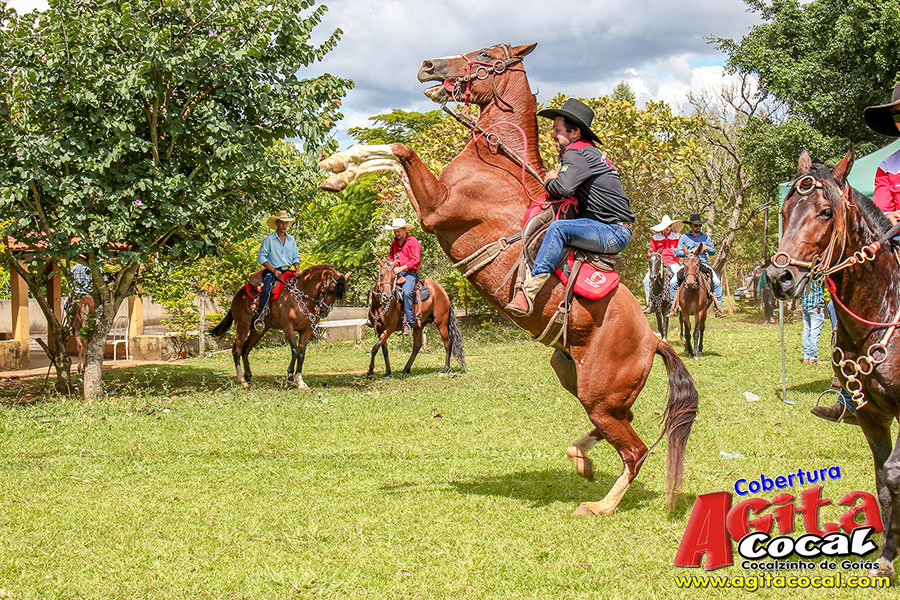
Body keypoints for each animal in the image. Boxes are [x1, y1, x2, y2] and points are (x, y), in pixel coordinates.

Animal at [210, 264, 350, 389]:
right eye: (330, 289)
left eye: (338, 294)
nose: (323, 312)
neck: (302, 297)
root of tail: (239, 294)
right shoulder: (288, 327)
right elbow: (295, 350)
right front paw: (288, 380)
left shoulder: (306, 330)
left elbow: (302, 354)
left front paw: (300, 382)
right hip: (242, 325)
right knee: (237, 349)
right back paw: (242, 381)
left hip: (258, 330)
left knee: (245, 349)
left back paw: (248, 377)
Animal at [318, 42, 699, 515]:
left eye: (484, 54)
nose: (428, 66)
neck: (498, 161)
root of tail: (653, 339)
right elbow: (393, 159)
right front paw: (337, 167)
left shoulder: (437, 208)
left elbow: (401, 150)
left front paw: (337, 165)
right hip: (576, 376)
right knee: (621, 428)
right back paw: (581, 460)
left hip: (599, 395)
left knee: (636, 450)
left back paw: (599, 505)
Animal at [767, 147, 899, 580]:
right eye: (785, 208)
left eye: (826, 212)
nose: (779, 277)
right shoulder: (872, 415)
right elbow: (884, 479)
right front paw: (887, 559)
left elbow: (895, 473)